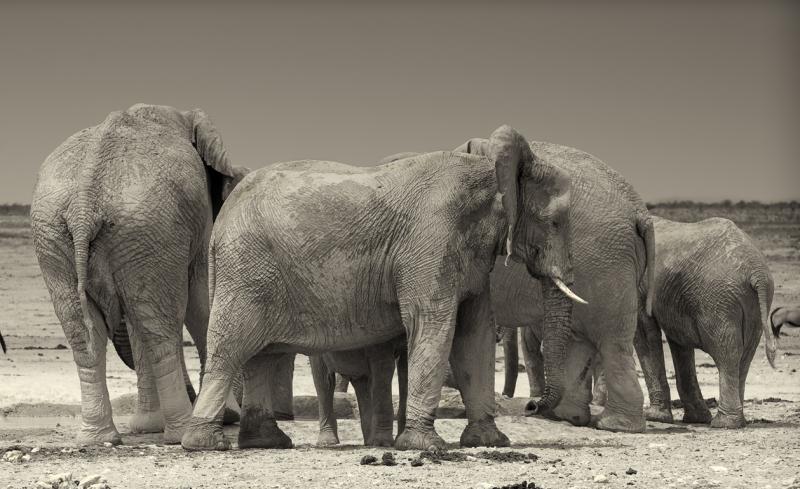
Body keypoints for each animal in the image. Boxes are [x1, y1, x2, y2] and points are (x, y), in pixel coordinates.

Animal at [30, 104, 248, 445]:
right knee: (159, 328)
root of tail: (84, 202)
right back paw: (178, 433)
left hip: (67, 234)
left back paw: (99, 439)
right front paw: (228, 417)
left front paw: (147, 428)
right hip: (142, 227)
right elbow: (200, 301)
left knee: (88, 331)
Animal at [181, 125, 584, 451]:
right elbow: (434, 324)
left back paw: (267, 442)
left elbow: (475, 335)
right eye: (555, 222)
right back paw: (206, 444)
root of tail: (222, 220)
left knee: (260, 357)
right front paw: (426, 446)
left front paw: (490, 442)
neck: (487, 169)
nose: (531, 406)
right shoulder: (429, 243)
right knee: (232, 348)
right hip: (247, 273)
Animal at [492, 140, 655, 432]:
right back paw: (570, 417)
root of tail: (640, 212)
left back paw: (613, 424)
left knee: (610, 341)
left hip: (606, 263)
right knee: (585, 339)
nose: (529, 406)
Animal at [632, 216, 776, 428]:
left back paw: (724, 423)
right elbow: (679, 343)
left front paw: (654, 417)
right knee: (745, 355)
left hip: (718, 300)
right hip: (752, 305)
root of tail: (757, 272)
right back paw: (736, 421)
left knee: (727, 352)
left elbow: (644, 331)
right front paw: (696, 419)